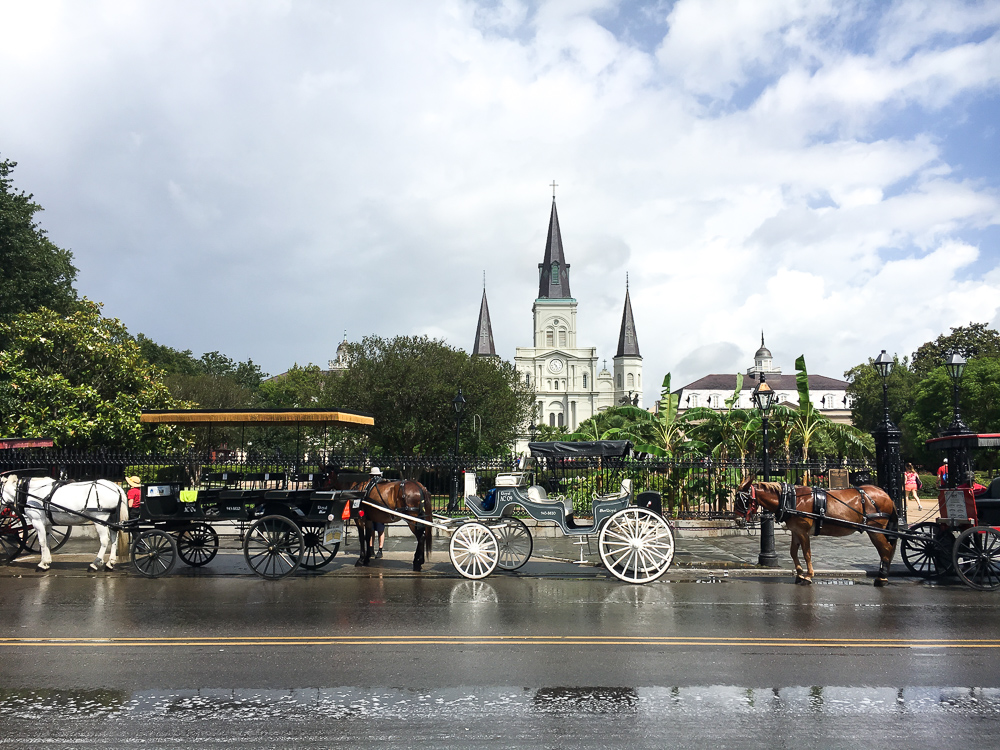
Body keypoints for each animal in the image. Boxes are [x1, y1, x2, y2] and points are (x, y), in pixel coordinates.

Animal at [0, 478, 129, 572]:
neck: (30, 493)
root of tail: (116, 487)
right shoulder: (47, 524)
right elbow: (47, 541)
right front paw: (47, 562)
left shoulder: (37, 522)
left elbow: (42, 541)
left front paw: (42, 563)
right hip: (112, 521)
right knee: (114, 539)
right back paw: (110, 563)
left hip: (99, 520)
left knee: (104, 540)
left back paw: (95, 564)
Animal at [736, 482, 900, 588]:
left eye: (741, 499)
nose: (737, 519)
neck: (790, 499)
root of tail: (886, 495)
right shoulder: (796, 531)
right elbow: (793, 552)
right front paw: (799, 574)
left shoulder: (803, 531)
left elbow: (806, 553)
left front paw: (808, 576)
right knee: (887, 549)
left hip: (876, 530)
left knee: (886, 550)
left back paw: (882, 578)